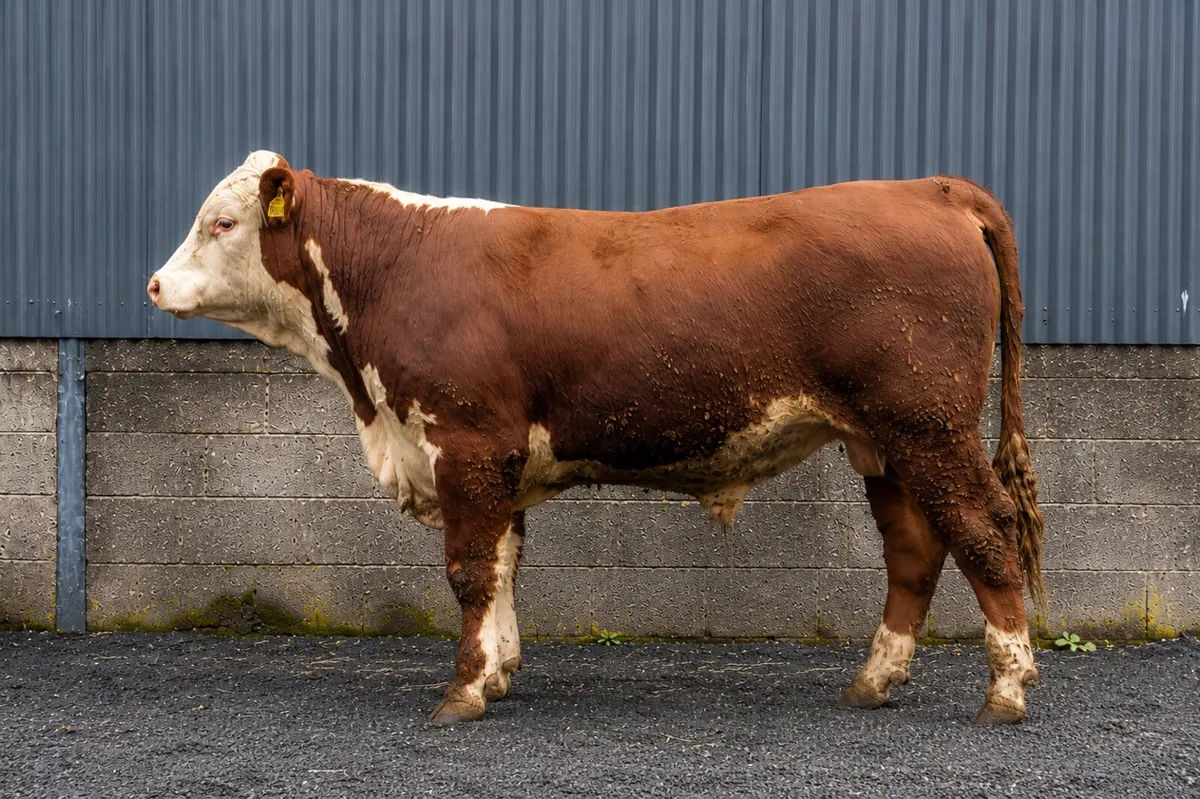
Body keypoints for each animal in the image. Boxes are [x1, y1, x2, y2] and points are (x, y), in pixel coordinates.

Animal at [149, 151, 1046, 726]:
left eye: (222, 222)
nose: (155, 283)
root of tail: (930, 188)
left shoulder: (465, 442)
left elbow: (469, 571)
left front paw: (462, 691)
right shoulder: (498, 455)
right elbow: (504, 566)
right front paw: (500, 670)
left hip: (928, 424)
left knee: (985, 531)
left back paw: (1006, 689)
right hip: (881, 438)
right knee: (915, 550)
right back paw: (875, 678)